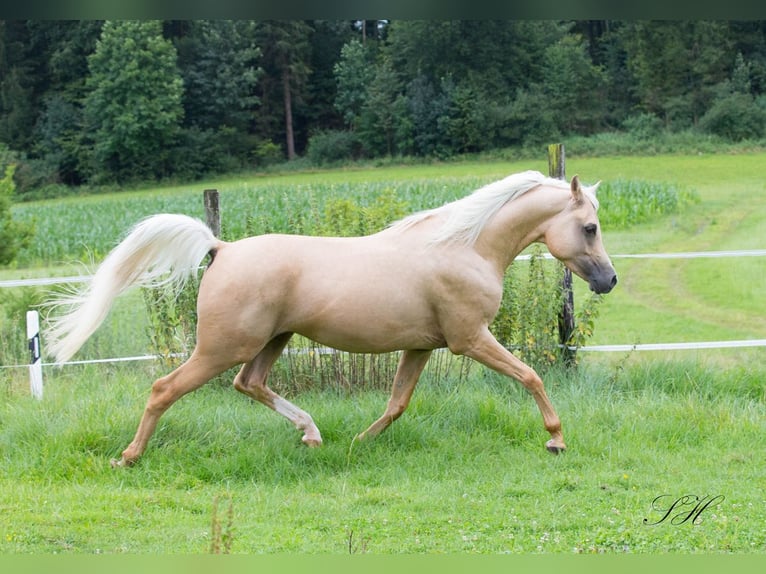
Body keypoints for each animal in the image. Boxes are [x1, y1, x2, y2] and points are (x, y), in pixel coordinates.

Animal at [45, 171, 616, 468]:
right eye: (589, 228)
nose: (609, 280)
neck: (465, 248)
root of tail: (220, 248)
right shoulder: (470, 338)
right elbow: (531, 376)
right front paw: (556, 439)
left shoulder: (421, 346)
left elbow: (397, 403)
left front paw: (361, 442)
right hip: (223, 346)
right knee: (166, 388)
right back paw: (129, 456)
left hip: (271, 340)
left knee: (249, 384)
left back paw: (313, 435)